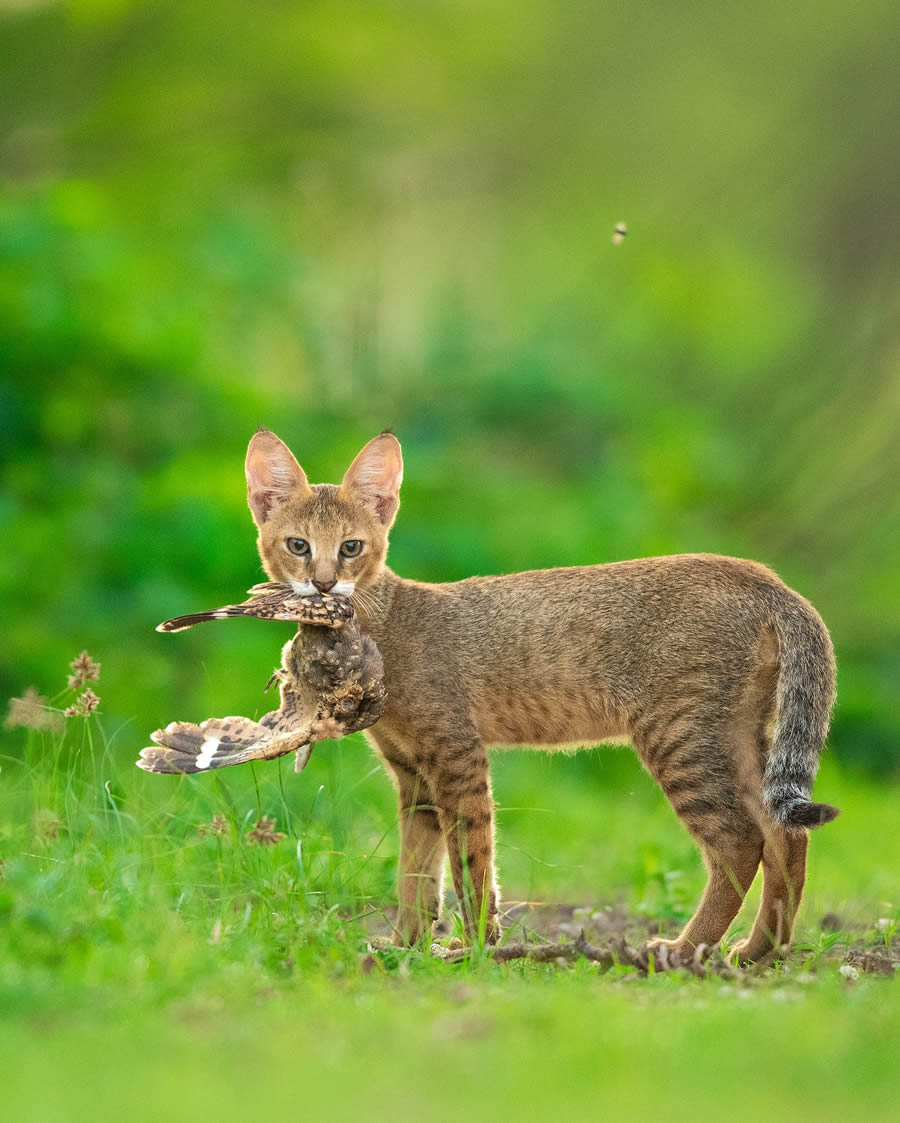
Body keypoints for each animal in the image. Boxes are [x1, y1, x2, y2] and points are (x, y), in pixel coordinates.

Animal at [243, 424, 835, 961]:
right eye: (298, 545)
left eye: (351, 547)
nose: (323, 583)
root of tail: (763, 577)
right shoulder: (412, 775)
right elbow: (417, 873)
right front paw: (403, 947)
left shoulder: (456, 755)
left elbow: (471, 860)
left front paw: (475, 947)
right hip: (737, 736)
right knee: (786, 834)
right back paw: (759, 951)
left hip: (681, 736)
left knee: (740, 840)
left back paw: (685, 948)